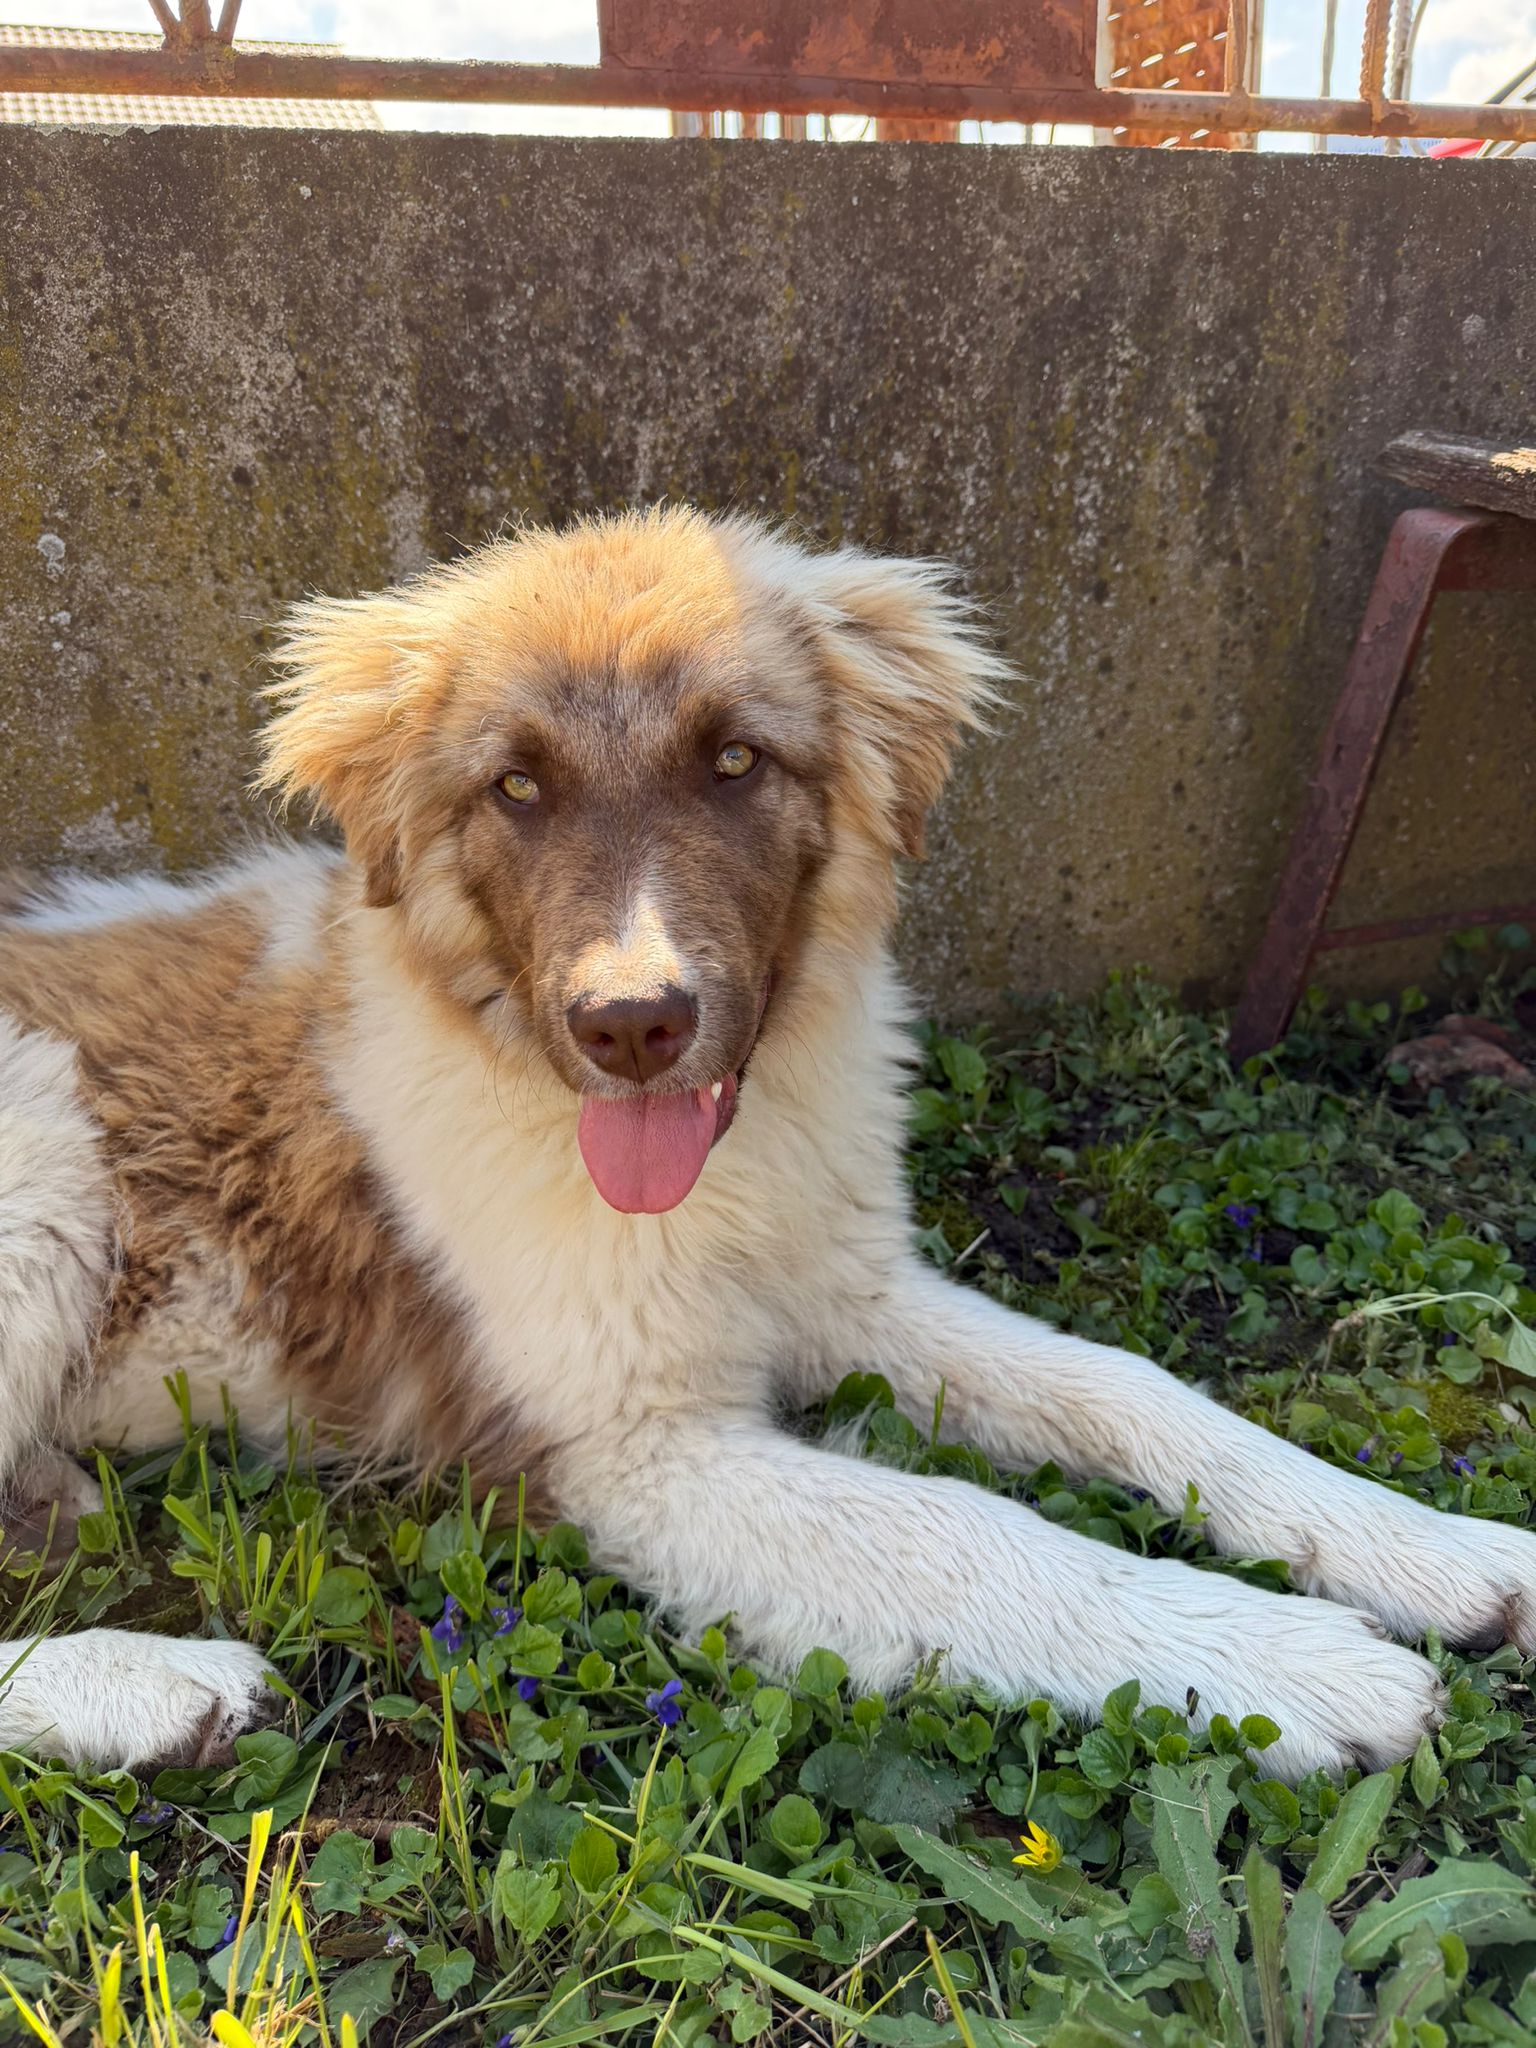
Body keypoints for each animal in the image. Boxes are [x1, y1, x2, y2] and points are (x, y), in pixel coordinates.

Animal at [0, 505, 1530, 1781]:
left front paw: (1432, 1549)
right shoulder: (628, 1447)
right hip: (45, 1152)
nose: (632, 1025)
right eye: (515, 789)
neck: (715, 1179)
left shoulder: (843, 1284)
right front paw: (1294, 1662)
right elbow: (965, 1528)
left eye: (735, 761)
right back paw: (151, 1687)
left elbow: (1127, 1385)